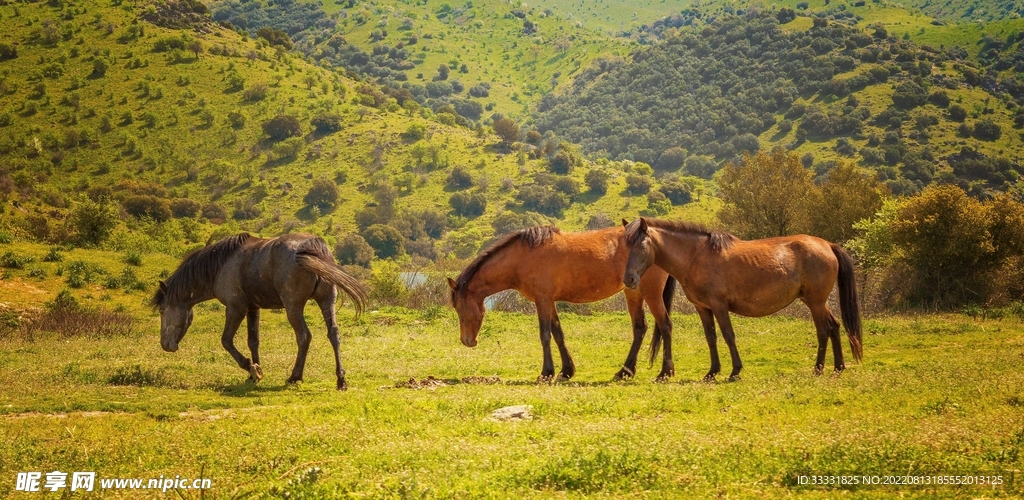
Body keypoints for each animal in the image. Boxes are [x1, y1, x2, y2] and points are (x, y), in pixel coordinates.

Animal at [152, 233, 368, 390]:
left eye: (162, 310)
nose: (165, 345)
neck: (220, 265)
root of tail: (312, 247)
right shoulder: (253, 308)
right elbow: (253, 342)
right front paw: (254, 374)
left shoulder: (236, 308)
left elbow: (226, 340)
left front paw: (252, 368)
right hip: (327, 301)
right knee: (333, 334)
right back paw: (341, 380)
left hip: (293, 305)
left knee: (304, 336)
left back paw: (294, 377)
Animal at [447, 224, 678, 382]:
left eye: (459, 307)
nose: (467, 341)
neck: (523, 257)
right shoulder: (549, 301)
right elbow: (558, 333)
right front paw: (567, 371)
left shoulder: (542, 300)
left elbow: (545, 335)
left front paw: (546, 372)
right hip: (633, 293)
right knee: (640, 328)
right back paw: (625, 372)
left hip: (651, 292)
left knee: (665, 325)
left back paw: (665, 372)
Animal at [622, 217, 862, 381]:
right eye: (625, 247)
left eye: (641, 247)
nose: (629, 279)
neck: (696, 256)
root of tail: (828, 245)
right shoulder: (703, 308)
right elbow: (711, 338)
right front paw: (712, 372)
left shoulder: (719, 306)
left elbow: (728, 335)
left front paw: (735, 371)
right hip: (816, 301)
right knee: (834, 326)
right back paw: (838, 367)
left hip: (815, 302)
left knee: (823, 330)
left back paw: (818, 368)